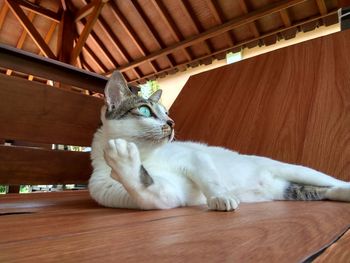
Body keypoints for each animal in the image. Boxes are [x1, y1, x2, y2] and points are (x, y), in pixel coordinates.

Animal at [88, 71, 350, 211]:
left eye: (166, 112)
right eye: (145, 111)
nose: (172, 122)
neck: (146, 156)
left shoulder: (195, 157)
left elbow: (210, 180)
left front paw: (220, 198)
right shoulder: (163, 194)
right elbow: (146, 189)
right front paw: (124, 162)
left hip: (300, 171)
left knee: (334, 181)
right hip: (290, 190)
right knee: (326, 191)